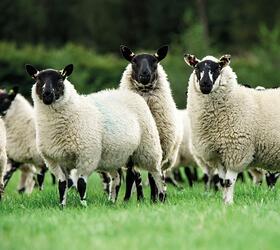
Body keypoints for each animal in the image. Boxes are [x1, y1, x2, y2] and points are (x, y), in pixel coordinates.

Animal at [25, 63, 165, 206]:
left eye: (60, 80)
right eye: (38, 80)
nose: (47, 94)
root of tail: (130, 94)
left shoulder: (87, 155)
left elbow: (81, 184)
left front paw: (83, 205)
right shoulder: (54, 160)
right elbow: (62, 185)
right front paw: (62, 206)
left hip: (148, 147)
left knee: (157, 174)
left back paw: (162, 198)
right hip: (114, 156)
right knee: (118, 178)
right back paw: (112, 201)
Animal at [120, 44, 182, 199]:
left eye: (155, 61)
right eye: (134, 61)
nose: (145, 75)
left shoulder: (158, 149)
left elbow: (152, 177)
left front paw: (155, 199)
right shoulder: (131, 154)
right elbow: (132, 176)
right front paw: (128, 199)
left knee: (156, 174)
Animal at [185, 53, 280, 204]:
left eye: (218, 68)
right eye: (196, 68)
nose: (205, 84)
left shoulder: (236, 151)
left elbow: (228, 182)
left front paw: (229, 203)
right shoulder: (218, 155)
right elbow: (222, 181)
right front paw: (224, 202)